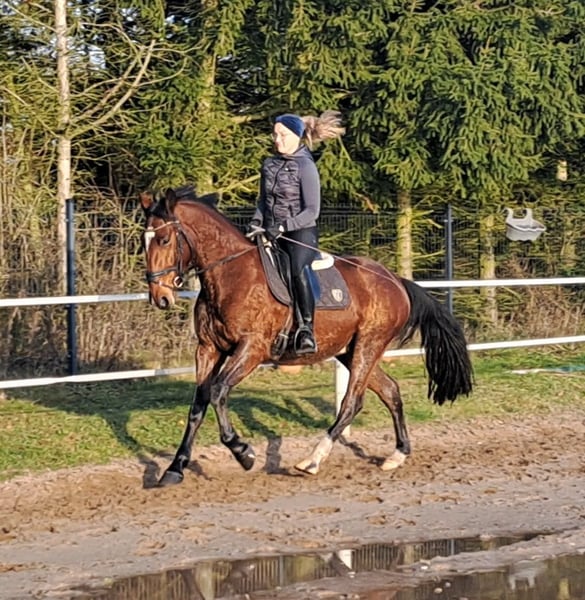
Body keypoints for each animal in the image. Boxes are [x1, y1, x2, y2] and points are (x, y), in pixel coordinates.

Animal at [140, 188, 473, 486]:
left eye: (164, 239)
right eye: (144, 241)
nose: (160, 297)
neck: (230, 275)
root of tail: (396, 280)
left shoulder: (251, 349)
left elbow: (219, 391)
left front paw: (243, 452)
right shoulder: (208, 349)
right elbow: (199, 404)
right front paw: (175, 468)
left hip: (369, 345)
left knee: (351, 402)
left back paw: (313, 459)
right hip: (350, 351)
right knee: (390, 390)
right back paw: (398, 454)